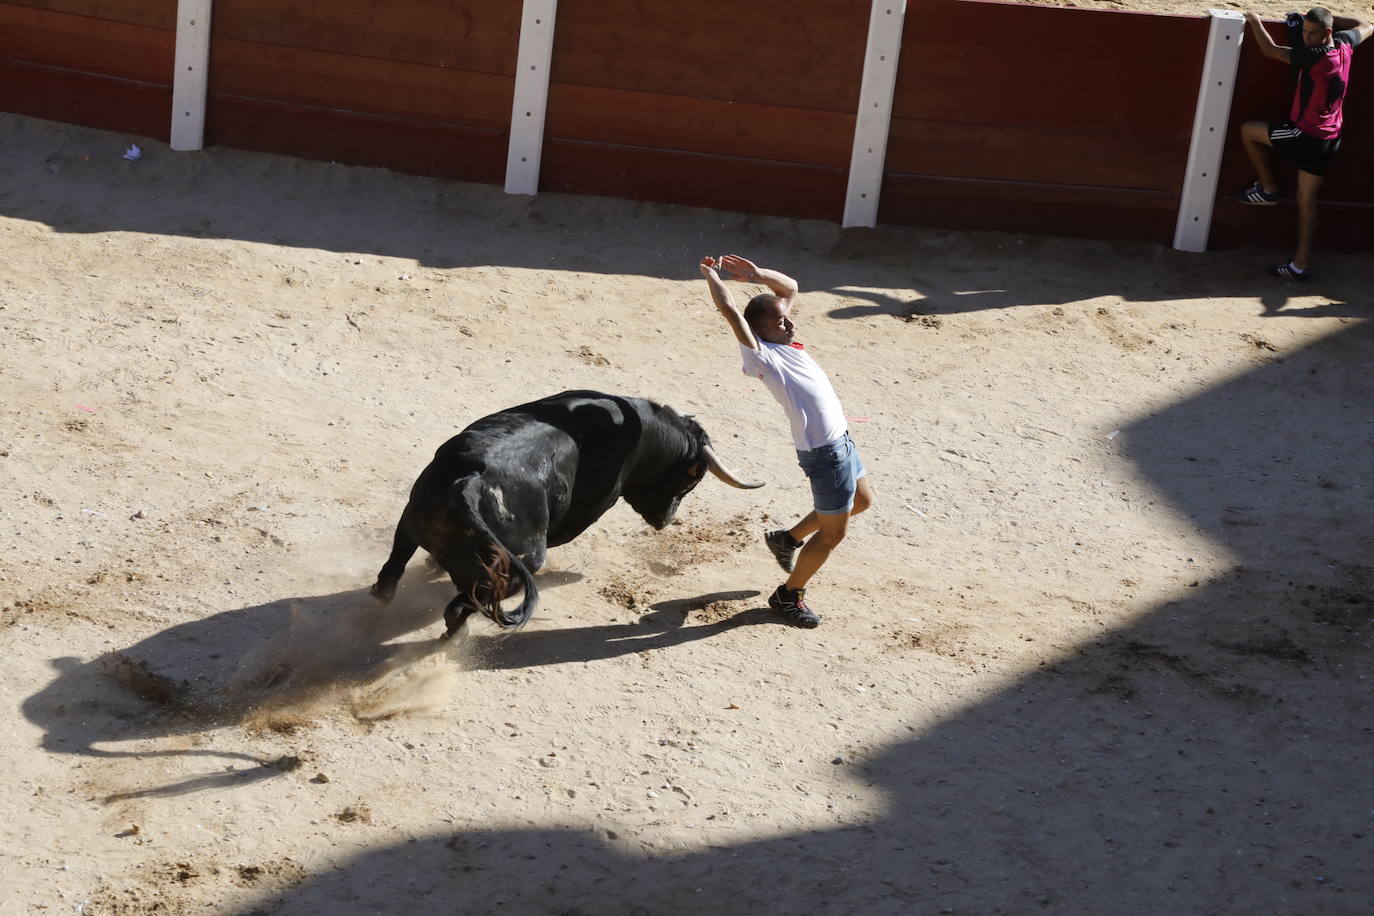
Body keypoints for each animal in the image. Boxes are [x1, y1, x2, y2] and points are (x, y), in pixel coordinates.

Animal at [370, 392, 763, 637]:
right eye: (690, 479)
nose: (666, 521)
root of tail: (469, 481)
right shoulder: (591, 508)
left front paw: (431, 568)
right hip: (523, 563)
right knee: (460, 608)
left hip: (409, 523)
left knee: (390, 574)